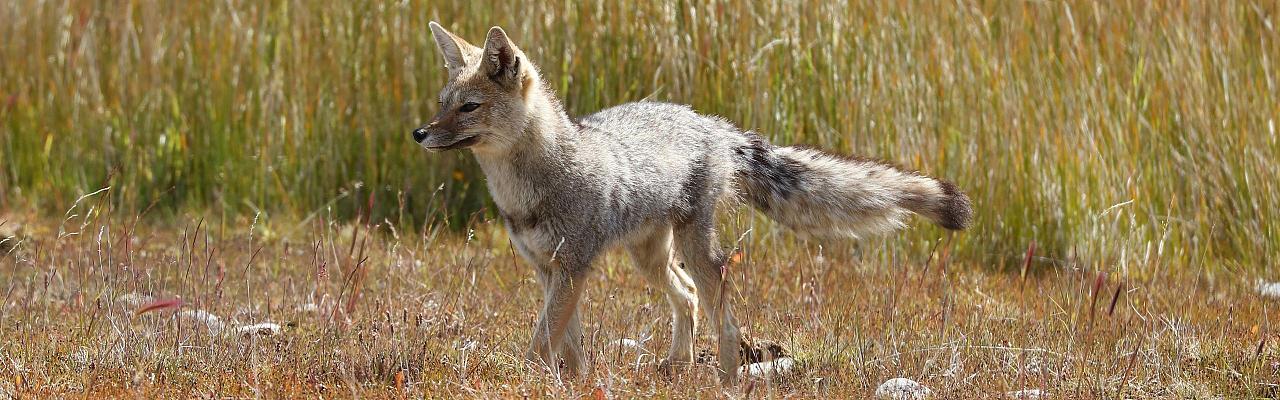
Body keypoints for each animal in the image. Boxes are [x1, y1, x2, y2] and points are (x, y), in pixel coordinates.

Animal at [414, 22, 972, 387]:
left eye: (469, 108)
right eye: (442, 103)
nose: (419, 134)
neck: (533, 187)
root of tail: (713, 124)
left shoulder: (572, 268)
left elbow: (541, 342)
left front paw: (528, 379)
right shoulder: (549, 270)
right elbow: (564, 344)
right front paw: (570, 382)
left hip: (694, 249)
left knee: (720, 303)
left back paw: (726, 377)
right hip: (650, 256)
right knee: (685, 296)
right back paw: (677, 366)